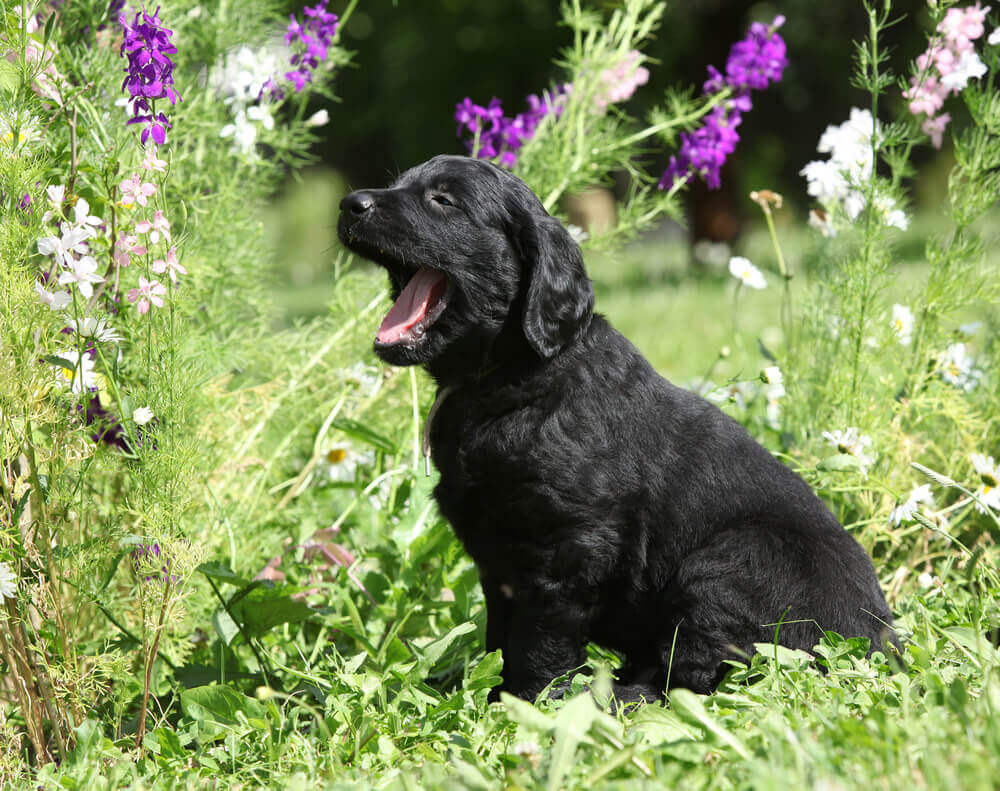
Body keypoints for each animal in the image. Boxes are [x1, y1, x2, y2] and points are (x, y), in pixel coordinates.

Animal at [338, 158, 900, 704]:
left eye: (443, 200)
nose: (349, 204)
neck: (513, 378)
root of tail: (882, 645)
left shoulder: (571, 547)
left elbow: (540, 639)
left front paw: (531, 703)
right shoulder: (498, 560)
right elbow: (501, 636)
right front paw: (485, 689)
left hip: (733, 564)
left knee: (695, 677)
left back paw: (617, 696)